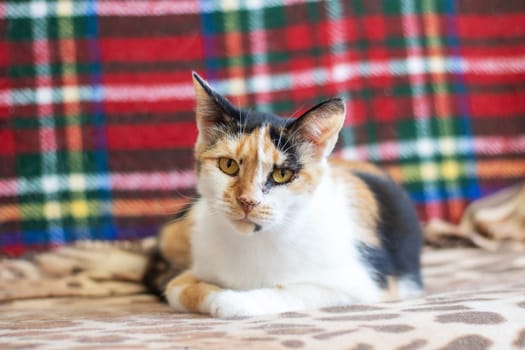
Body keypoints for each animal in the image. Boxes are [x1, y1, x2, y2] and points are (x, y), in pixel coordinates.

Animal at [142, 72, 422, 318]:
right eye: (228, 165)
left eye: (282, 175)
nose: (247, 201)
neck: (254, 241)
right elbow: (177, 287)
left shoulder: (365, 285)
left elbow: (291, 291)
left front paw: (232, 300)